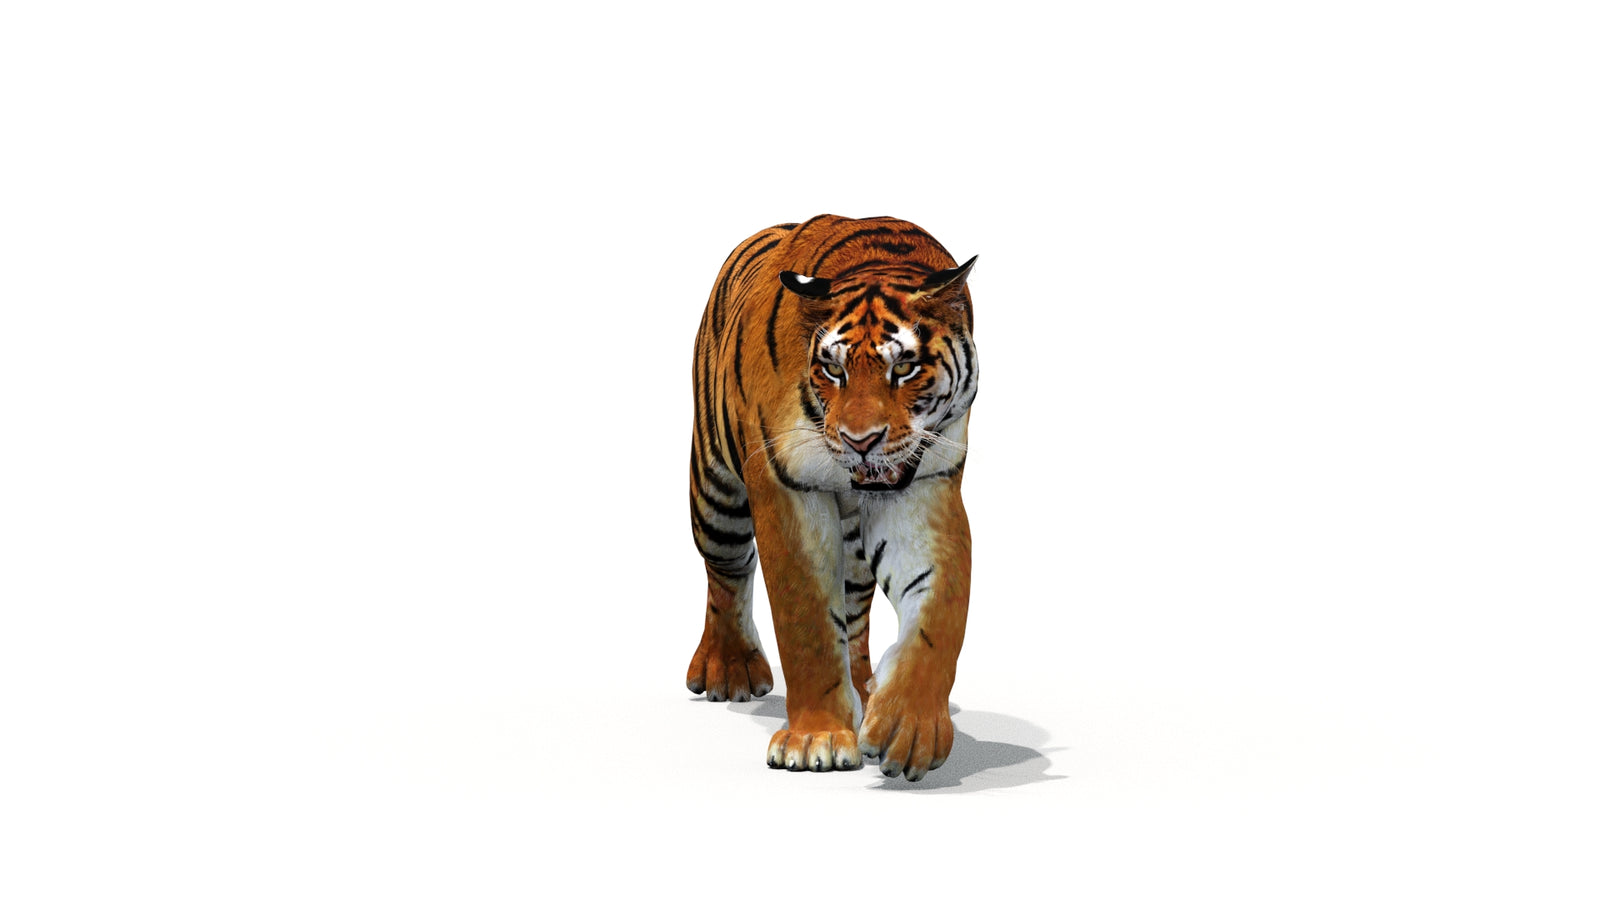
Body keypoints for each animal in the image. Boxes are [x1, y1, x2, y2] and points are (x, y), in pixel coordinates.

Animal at [685, 214, 978, 782]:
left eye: (904, 368)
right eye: (833, 370)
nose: (860, 440)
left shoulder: (925, 482)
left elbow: (939, 611)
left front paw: (909, 725)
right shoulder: (786, 488)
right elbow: (807, 622)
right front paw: (814, 739)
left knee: (855, 602)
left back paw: (865, 686)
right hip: (716, 495)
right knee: (726, 571)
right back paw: (729, 669)